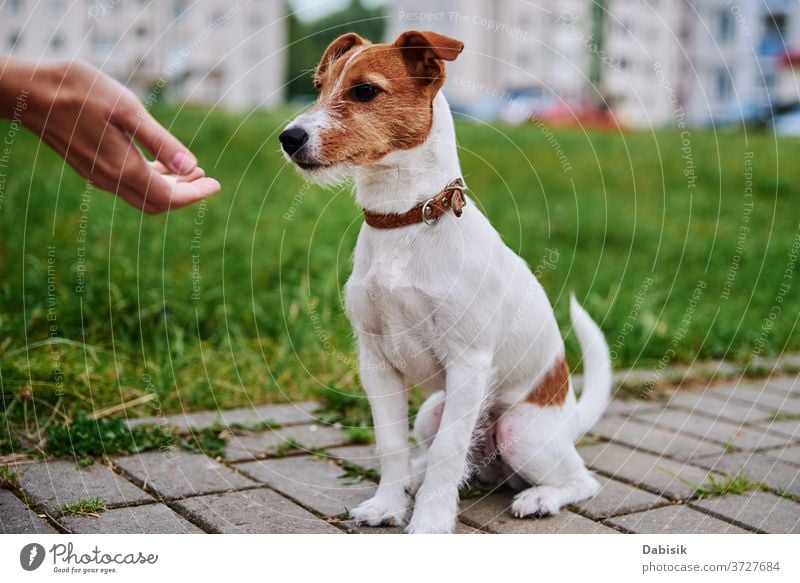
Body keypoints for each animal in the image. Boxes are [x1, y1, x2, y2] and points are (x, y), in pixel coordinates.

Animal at [282, 30, 612, 532]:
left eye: (365, 90)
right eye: (319, 88)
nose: (288, 137)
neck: (406, 220)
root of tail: (569, 420)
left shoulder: (468, 364)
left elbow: (447, 453)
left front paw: (430, 523)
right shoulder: (376, 363)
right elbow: (392, 446)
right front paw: (388, 504)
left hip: (519, 430)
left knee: (580, 479)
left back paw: (539, 497)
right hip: (431, 412)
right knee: (447, 458)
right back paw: (416, 481)